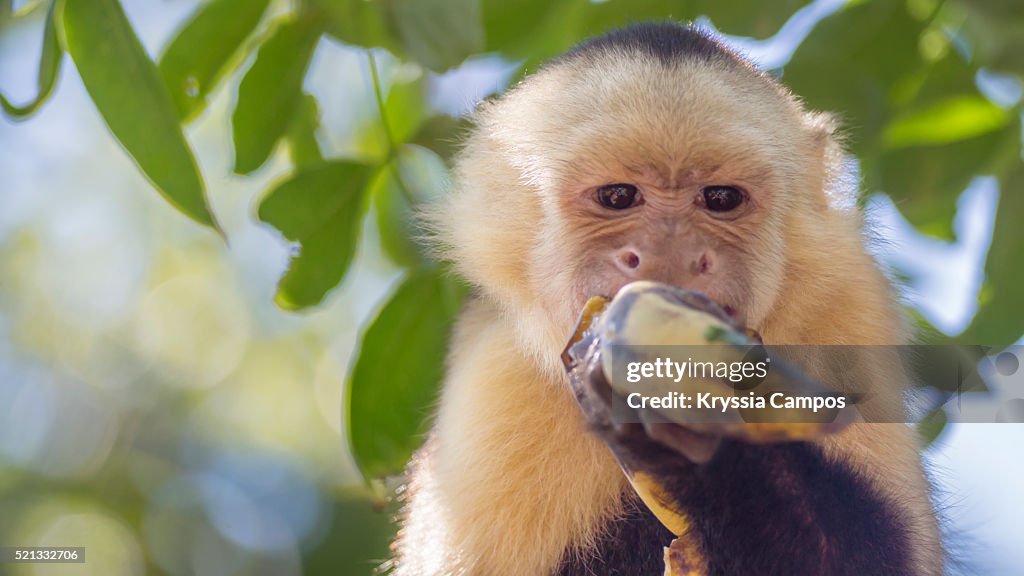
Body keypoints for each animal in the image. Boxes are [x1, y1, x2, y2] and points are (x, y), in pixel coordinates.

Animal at [389, 22, 942, 573]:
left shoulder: (851, 305)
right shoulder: (495, 376)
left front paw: (690, 427)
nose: (672, 253)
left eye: (720, 198)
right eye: (617, 196)